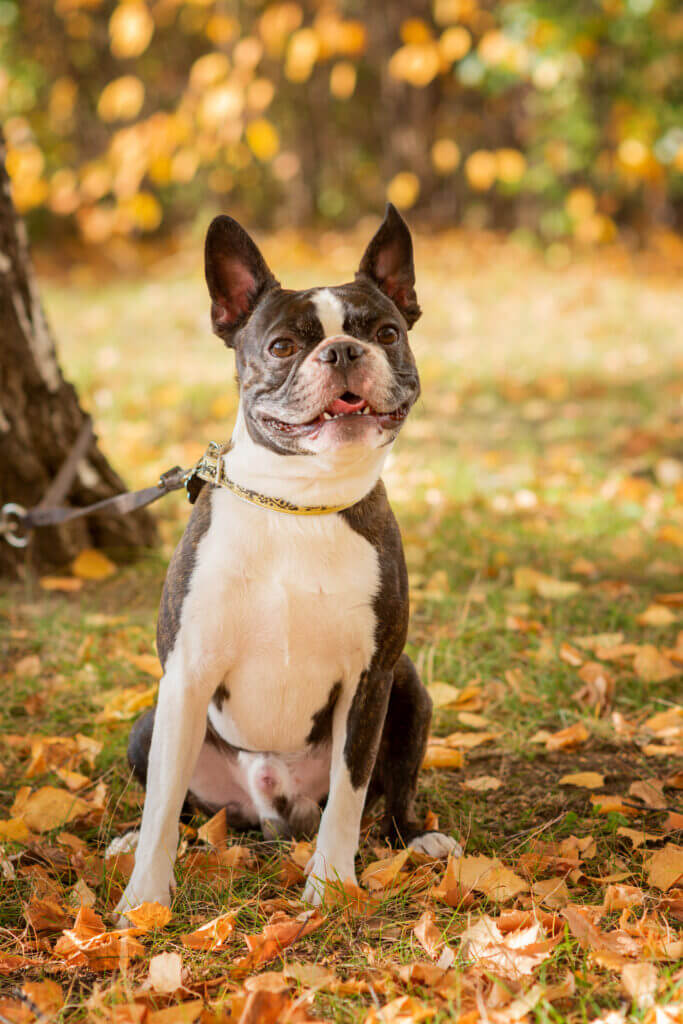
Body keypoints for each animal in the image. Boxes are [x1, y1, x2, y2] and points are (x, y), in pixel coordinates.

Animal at [114, 203, 462, 917]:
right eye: (281, 347)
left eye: (387, 333)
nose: (344, 351)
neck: (300, 502)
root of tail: (273, 812)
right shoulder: (186, 673)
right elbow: (162, 804)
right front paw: (143, 902)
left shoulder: (370, 680)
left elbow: (351, 796)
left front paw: (330, 884)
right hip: (150, 722)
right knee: (180, 805)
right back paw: (133, 840)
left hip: (410, 688)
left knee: (390, 795)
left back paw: (417, 837)